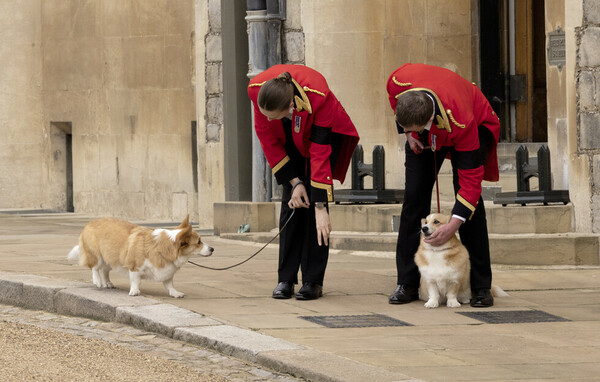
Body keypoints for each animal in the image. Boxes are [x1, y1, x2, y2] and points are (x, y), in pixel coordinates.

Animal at [67, 216, 213, 296]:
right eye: (199, 242)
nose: (212, 249)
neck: (162, 247)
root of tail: (89, 223)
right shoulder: (134, 267)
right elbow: (136, 281)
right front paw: (135, 292)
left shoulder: (167, 272)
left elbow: (169, 284)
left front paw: (175, 293)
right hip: (98, 256)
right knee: (95, 268)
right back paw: (97, 281)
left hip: (112, 258)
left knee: (105, 270)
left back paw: (108, 283)